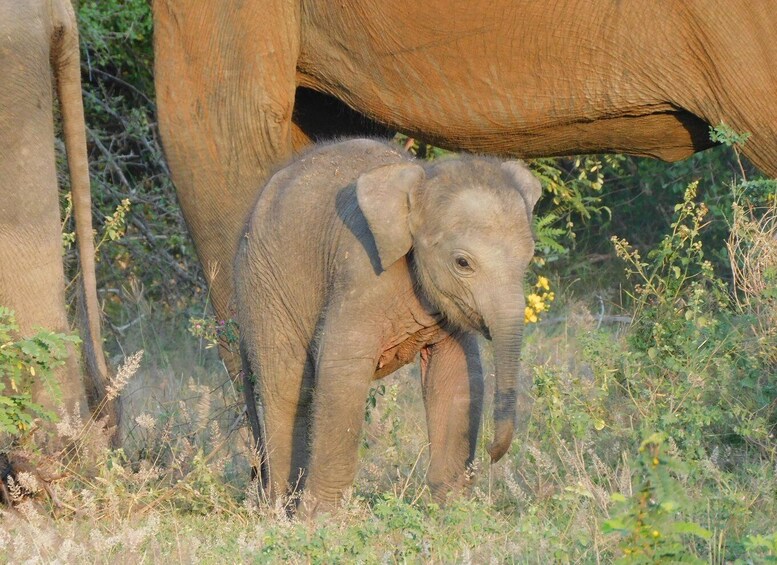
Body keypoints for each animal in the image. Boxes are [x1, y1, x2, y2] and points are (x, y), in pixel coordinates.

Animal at [234, 138, 541, 512]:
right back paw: (278, 510)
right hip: (264, 285)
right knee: (285, 386)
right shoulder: (361, 272)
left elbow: (455, 376)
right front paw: (320, 519)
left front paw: (452, 512)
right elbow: (342, 368)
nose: (492, 453)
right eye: (462, 263)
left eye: (529, 258)